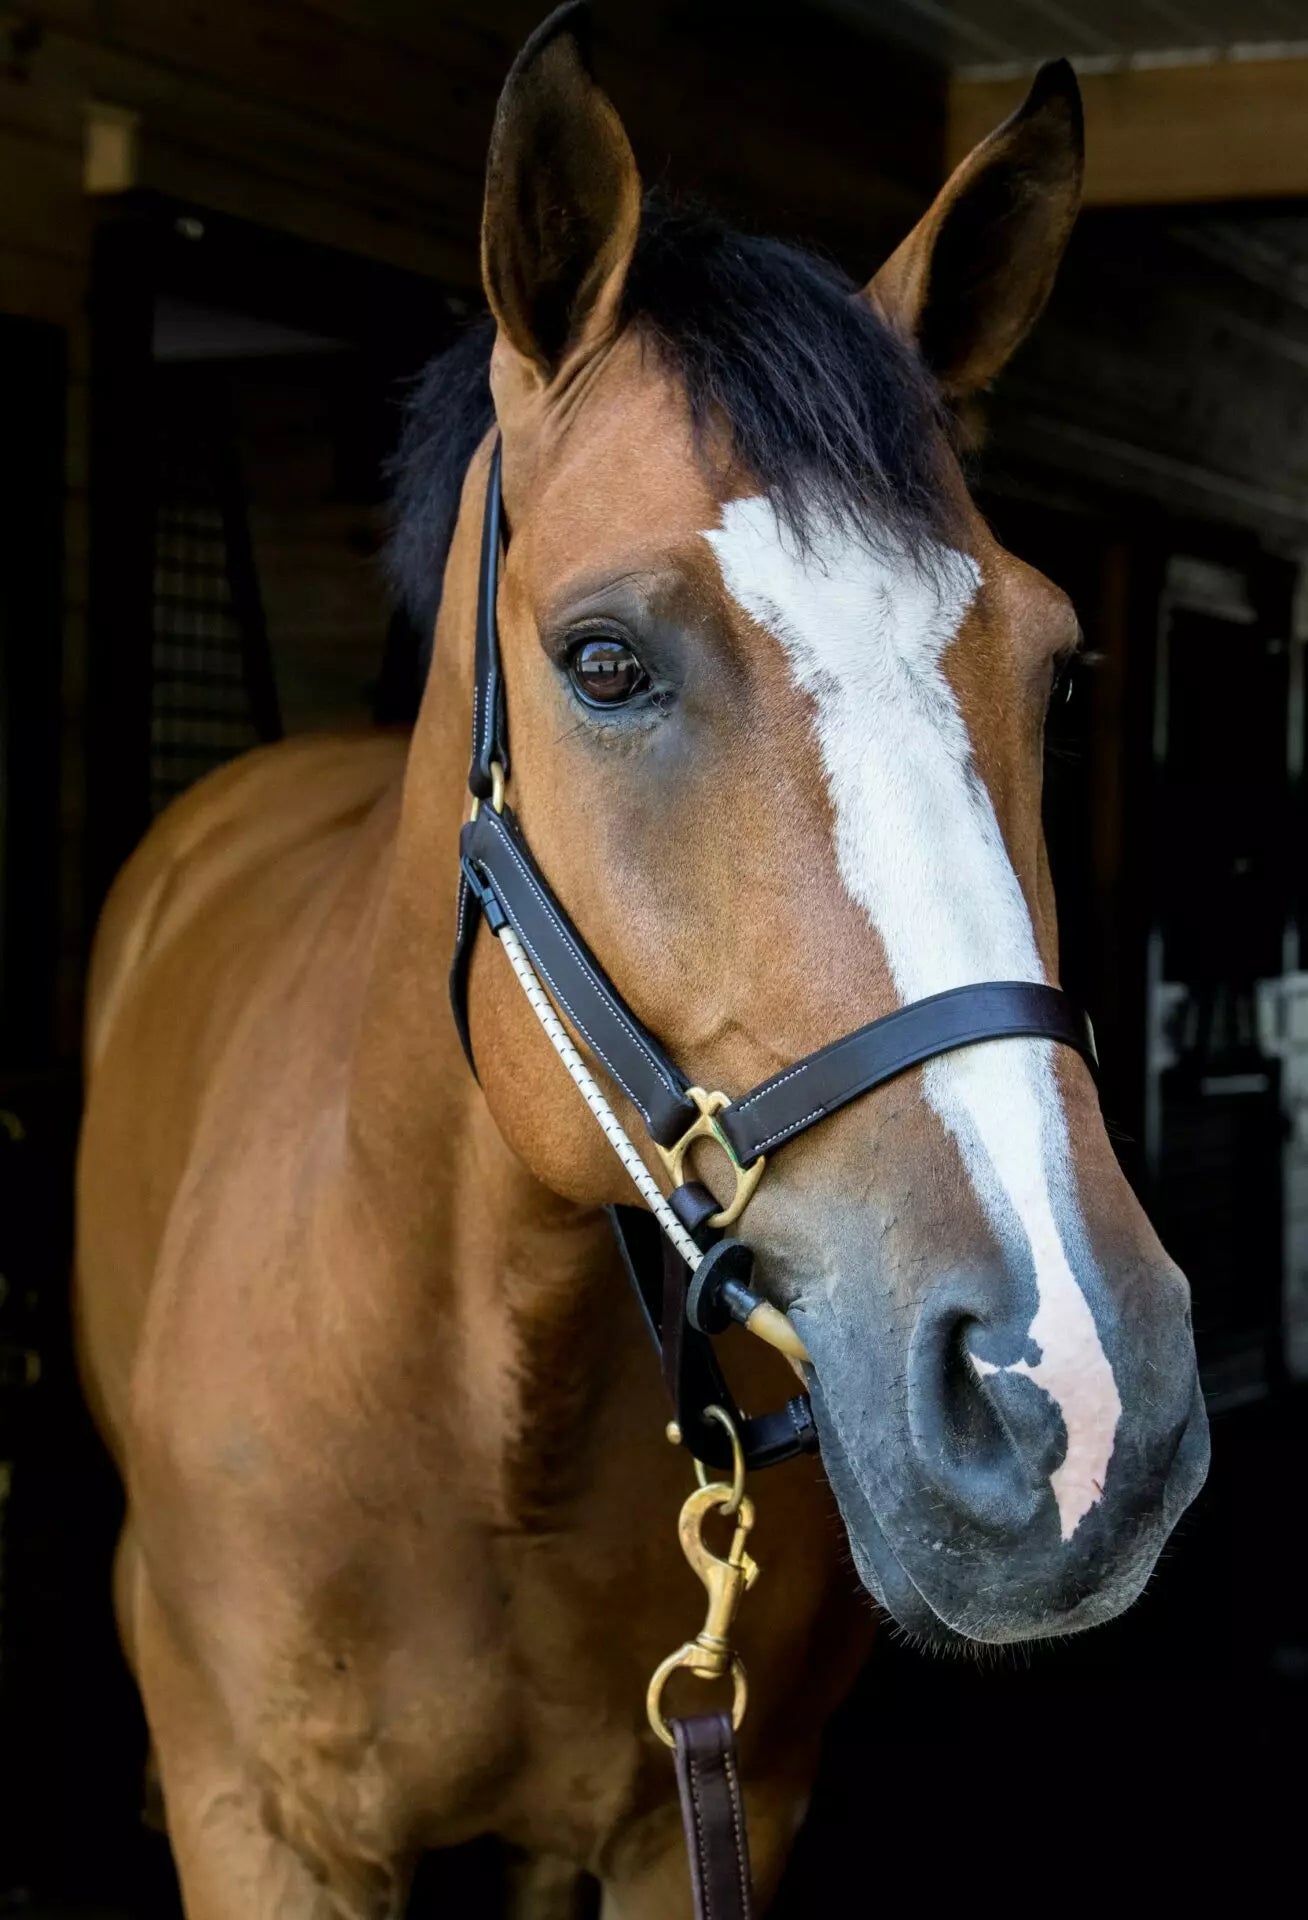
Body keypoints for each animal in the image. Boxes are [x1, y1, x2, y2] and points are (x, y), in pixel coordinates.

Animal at [75, 7, 1209, 1914]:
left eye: (1057, 672)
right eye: (603, 662)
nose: (1068, 1388)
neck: (473, 1410)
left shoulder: (696, 1818)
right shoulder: (255, 1826)